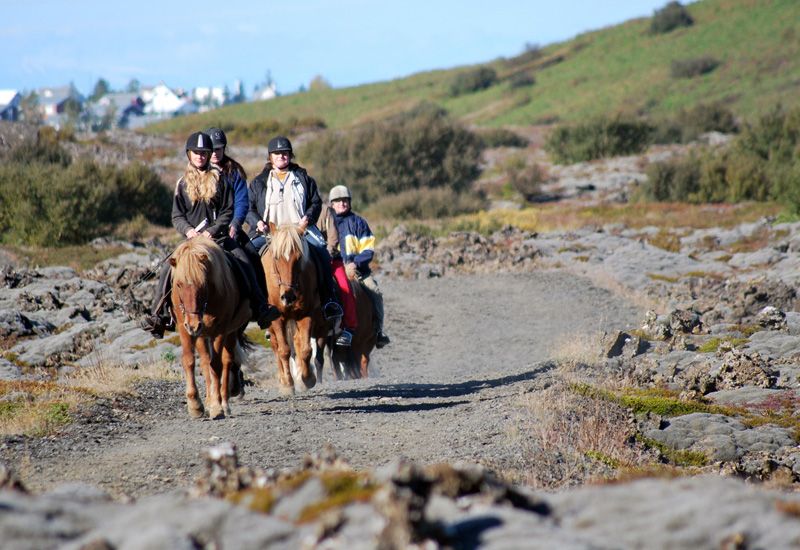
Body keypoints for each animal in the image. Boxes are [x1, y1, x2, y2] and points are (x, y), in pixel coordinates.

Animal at [170, 235, 252, 420]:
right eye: (178, 284)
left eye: (203, 284)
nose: (193, 324)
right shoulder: (184, 328)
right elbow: (190, 360)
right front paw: (195, 405)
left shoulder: (220, 330)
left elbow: (216, 365)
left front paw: (216, 406)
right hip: (202, 334)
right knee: (206, 361)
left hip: (230, 331)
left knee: (226, 361)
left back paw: (224, 402)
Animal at [262, 225, 318, 396]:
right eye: (276, 258)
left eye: (298, 258)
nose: (288, 296)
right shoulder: (277, 319)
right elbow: (284, 350)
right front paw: (287, 384)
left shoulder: (306, 314)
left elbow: (305, 349)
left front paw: (307, 379)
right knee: (276, 346)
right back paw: (283, 379)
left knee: (298, 342)